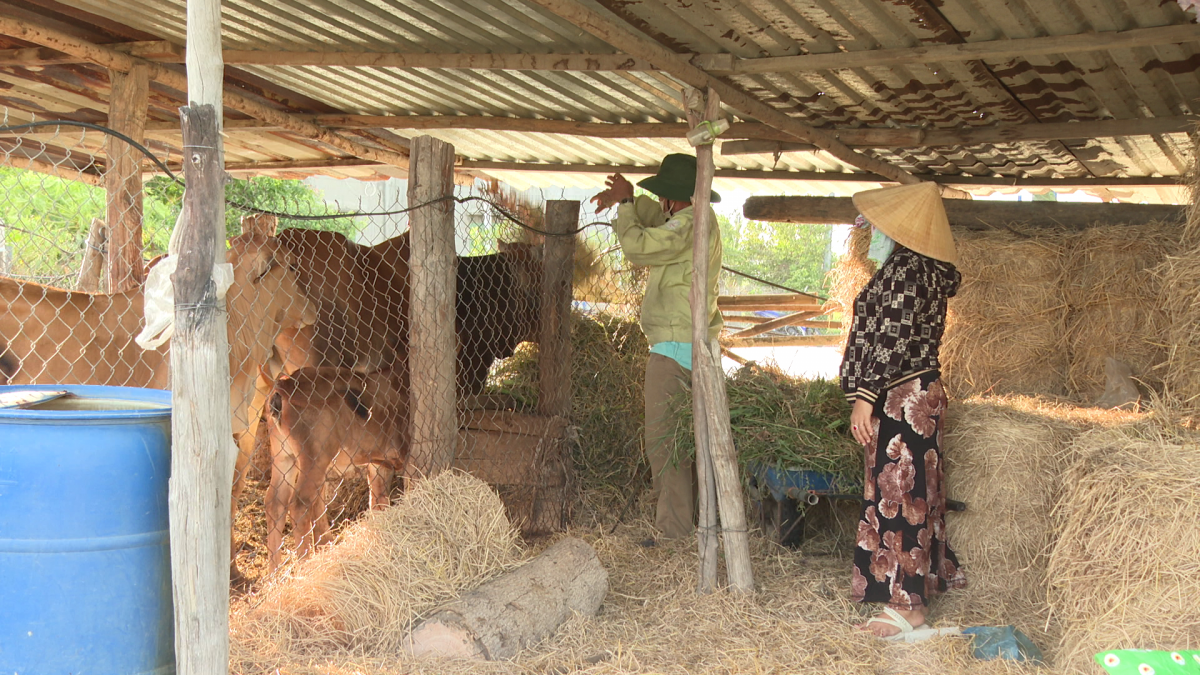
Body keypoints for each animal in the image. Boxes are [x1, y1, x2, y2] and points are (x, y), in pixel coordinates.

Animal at [262, 362, 412, 566]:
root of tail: (283, 386)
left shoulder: (379, 464)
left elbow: (378, 503)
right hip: (314, 459)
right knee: (299, 504)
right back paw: (305, 565)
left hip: (284, 457)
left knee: (275, 502)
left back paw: (275, 573)